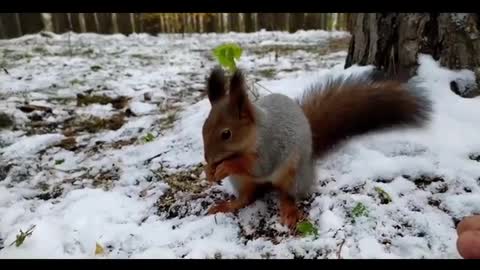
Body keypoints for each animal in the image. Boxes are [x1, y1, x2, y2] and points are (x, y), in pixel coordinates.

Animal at [201, 66, 434, 229]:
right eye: (204, 127)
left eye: (226, 134)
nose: (209, 159)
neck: (254, 134)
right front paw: (209, 172)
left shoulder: (270, 147)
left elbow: (256, 166)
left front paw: (224, 166)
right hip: (241, 181)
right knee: (245, 198)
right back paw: (226, 205)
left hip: (293, 176)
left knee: (287, 194)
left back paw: (289, 211)